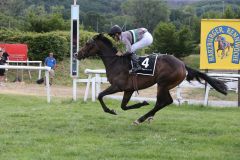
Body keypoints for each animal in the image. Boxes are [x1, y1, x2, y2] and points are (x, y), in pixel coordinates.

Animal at [77, 33, 227, 124]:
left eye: (87, 44)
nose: (76, 54)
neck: (115, 62)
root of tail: (182, 64)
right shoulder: (129, 89)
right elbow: (123, 106)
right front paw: (141, 103)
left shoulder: (117, 86)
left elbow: (100, 95)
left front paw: (110, 111)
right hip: (166, 85)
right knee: (165, 102)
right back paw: (148, 116)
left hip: (163, 84)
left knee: (162, 102)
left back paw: (141, 119)